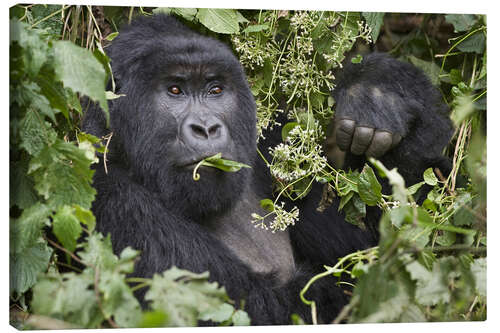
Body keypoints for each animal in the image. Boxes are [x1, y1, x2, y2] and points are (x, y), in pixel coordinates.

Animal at [81, 14, 454, 322]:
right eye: (174, 90)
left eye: (215, 89)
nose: (207, 128)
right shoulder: (115, 202)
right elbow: (271, 306)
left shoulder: (270, 152)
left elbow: (375, 244)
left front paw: (381, 89)